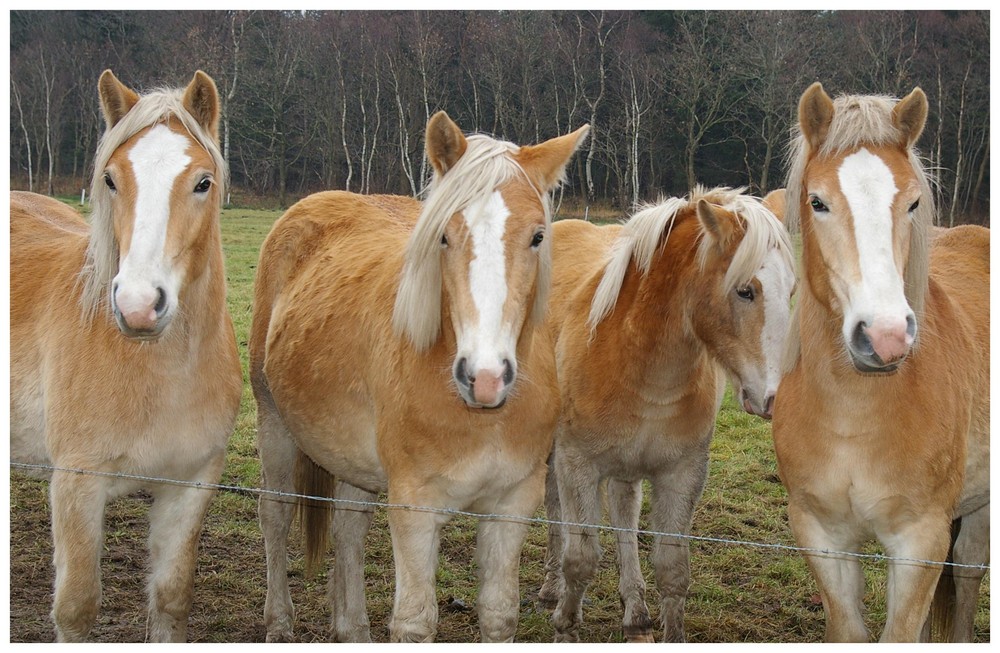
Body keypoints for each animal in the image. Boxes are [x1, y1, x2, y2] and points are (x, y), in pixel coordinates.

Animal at [8, 69, 242, 640]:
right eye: (111, 179)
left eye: (203, 182)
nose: (138, 306)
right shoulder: (77, 485)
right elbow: (76, 607)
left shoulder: (191, 484)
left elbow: (171, 598)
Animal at [250, 112, 588, 640]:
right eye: (444, 236)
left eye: (538, 236)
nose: (484, 378)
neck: (480, 418)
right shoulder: (414, 507)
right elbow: (414, 620)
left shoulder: (512, 503)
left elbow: (499, 612)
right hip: (274, 422)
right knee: (276, 512)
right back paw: (280, 623)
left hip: (352, 460)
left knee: (348, 527)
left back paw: (351, 629)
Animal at [536, 186, 800, 640]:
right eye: (745, 290)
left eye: (793, 291)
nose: (774, 399)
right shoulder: (578, 465)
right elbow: (580, 560)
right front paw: (565, 628)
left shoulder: (682, 473)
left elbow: (673, 569)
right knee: (556, 507)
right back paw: (552, 589)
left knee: (624, 513)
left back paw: (636, 614)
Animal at [768, 83, 988, 640]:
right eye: (817, 202)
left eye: (912, 202)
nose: (885, 337)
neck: (854, 416)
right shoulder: (821, 537)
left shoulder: (919, 545)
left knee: (969, 572)